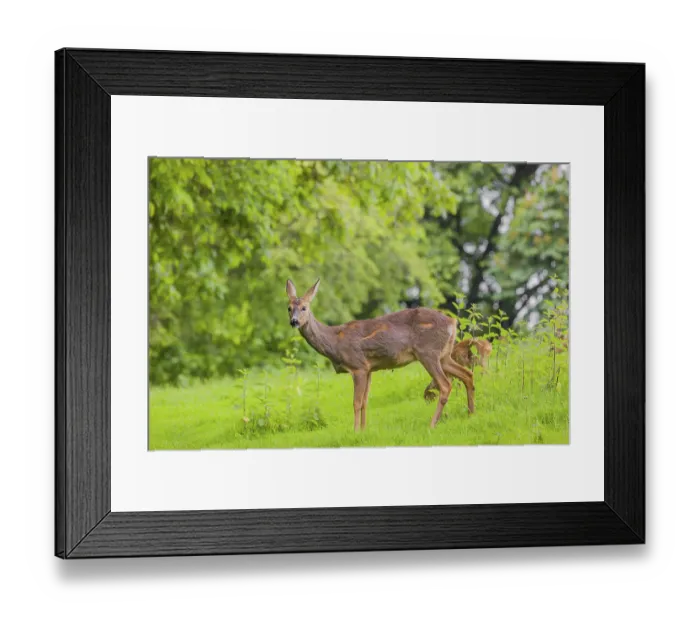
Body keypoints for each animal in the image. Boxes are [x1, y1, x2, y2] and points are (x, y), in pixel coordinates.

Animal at [286, 278, 475, 431]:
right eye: (289, 308)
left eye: (304, 308)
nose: (294, 321)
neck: (335, 341)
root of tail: (452, 322)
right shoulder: (369, 369)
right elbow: (365, 402)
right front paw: (363, 430)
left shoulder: (358, 366)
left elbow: (356, 402)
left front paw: (355, 431)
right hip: (444, 355)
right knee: (468, 374)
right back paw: (471, 414)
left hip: (428, 352)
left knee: (445, 385)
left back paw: (432, 424)